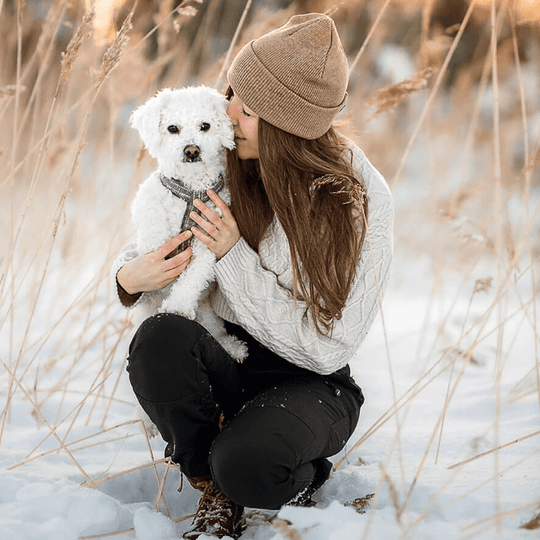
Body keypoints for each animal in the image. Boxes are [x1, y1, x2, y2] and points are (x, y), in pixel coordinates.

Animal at [131, 85, 249, 362]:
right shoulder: (154, 244)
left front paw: (177, 307)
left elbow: (191, 279)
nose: (191, 150)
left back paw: (231, 346)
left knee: (214, 329)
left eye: (205, 126)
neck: (191, 193)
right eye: (172, 128)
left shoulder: (208, 244)